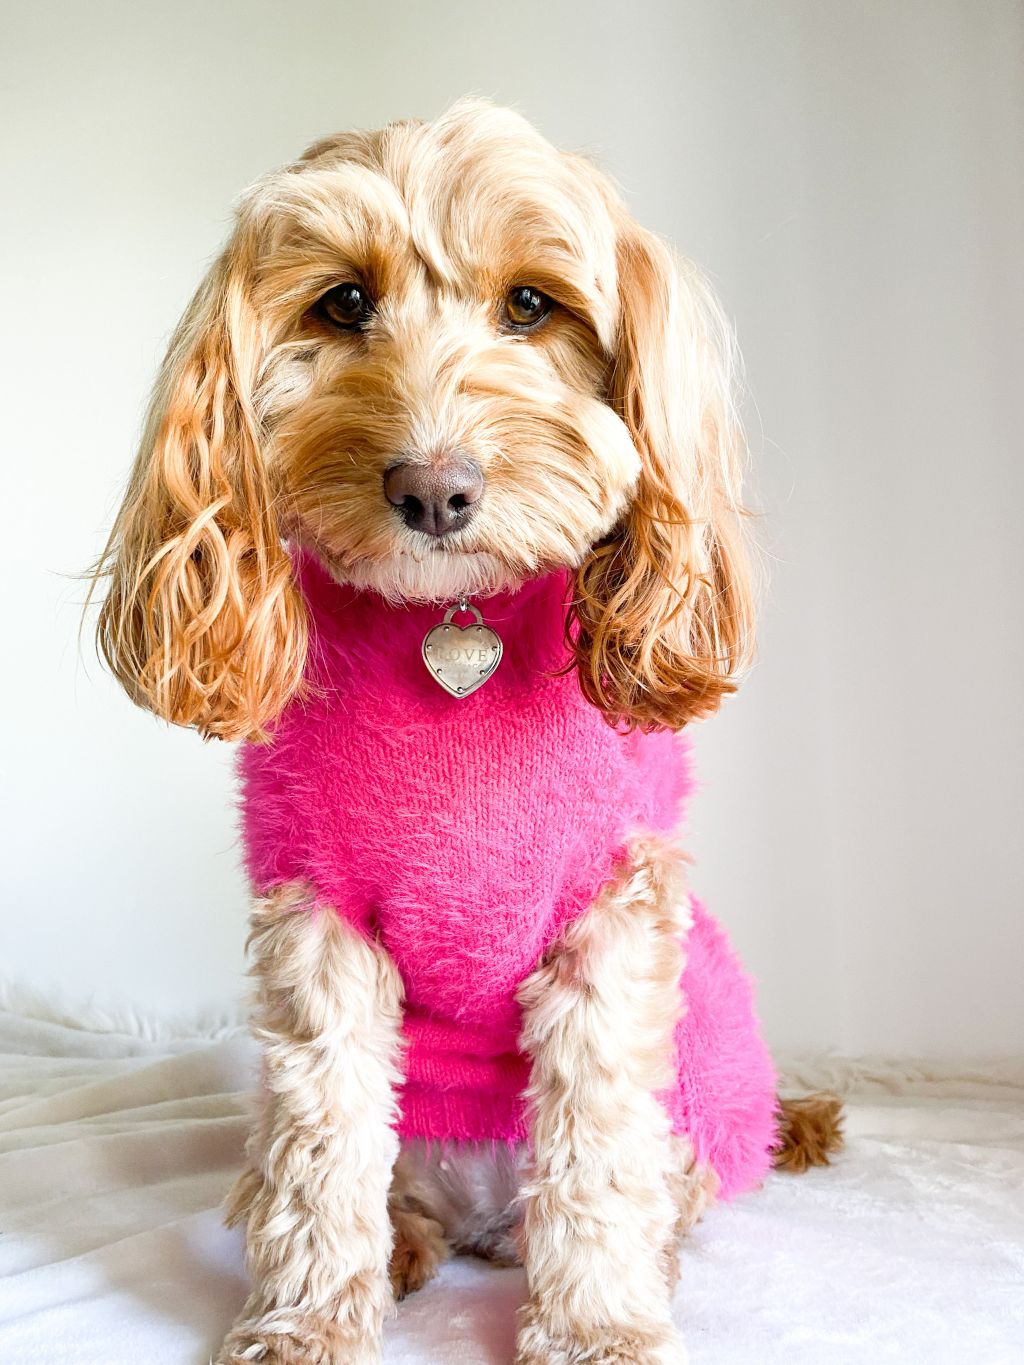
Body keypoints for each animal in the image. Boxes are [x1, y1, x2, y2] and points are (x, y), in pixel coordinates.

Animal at [94, 98, 841, 1365]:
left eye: (532, 306)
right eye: (343, 301)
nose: (433, 490)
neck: (452, 618)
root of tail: (486, 1224)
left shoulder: (610, 918)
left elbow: (596, 1144)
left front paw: (596, 1325)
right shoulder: (318, 920)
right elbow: (321, 1142)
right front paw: (305, 1319)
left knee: (635, 1182)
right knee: (330, 1177)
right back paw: (397, 1248)